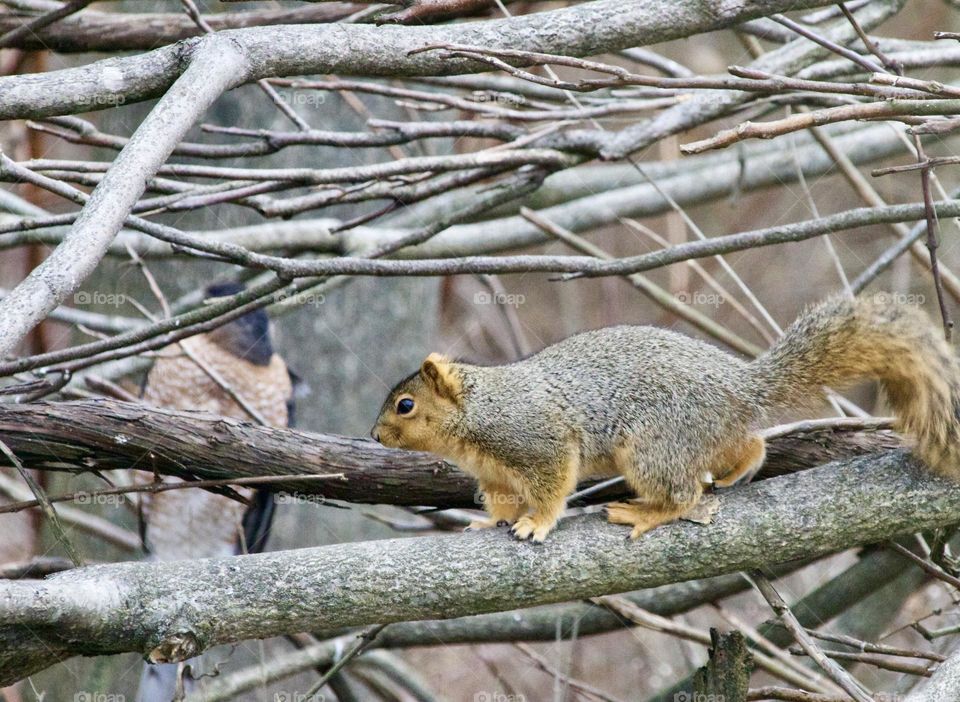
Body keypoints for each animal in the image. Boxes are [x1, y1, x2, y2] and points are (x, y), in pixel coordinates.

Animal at [372, 294, 960, 540]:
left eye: (406, 405)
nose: (374, 435)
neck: (477, 414)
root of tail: (739, 385)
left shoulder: (538, 441)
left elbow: (551, 487)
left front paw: (537, 525)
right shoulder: (496, 474)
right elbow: (499, 502)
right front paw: (486, 521)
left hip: (653, 447)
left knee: (682, 496)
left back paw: (645, 513)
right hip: (706, 436)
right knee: (748, 445)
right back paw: (737, 469)